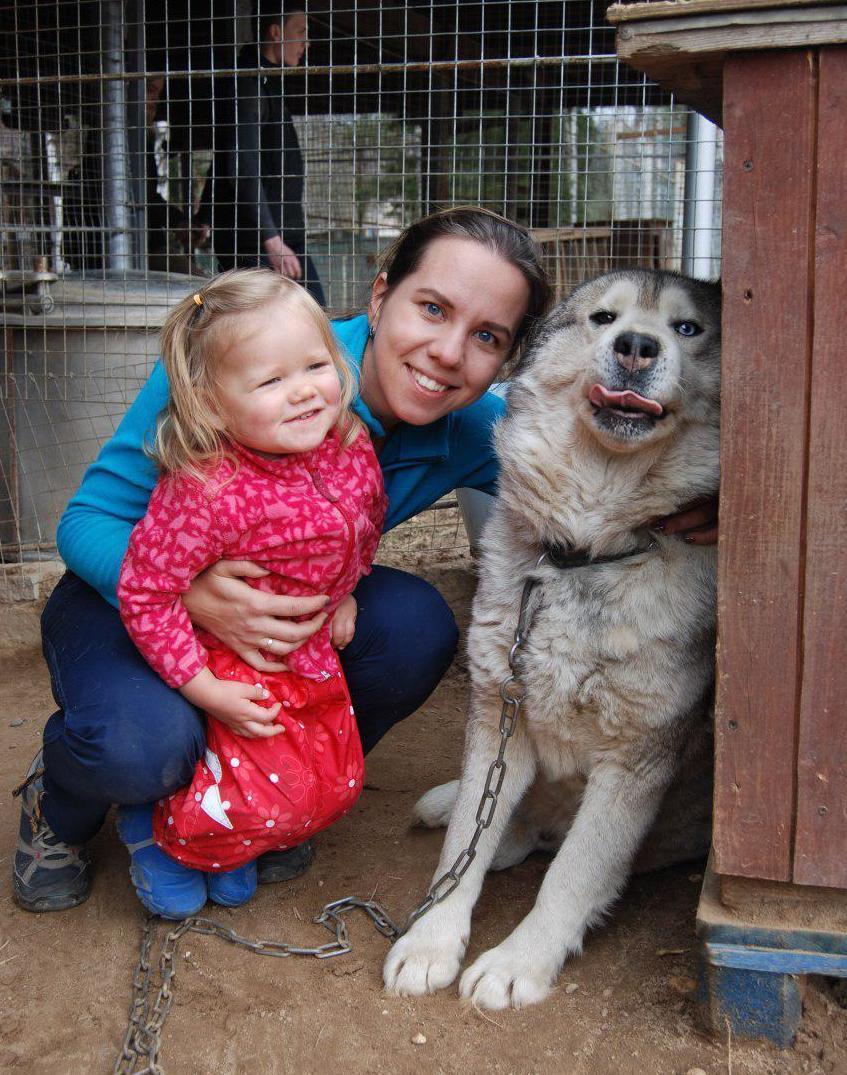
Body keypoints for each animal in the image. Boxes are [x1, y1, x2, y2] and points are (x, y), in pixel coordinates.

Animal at [384, 266, 722, 1006]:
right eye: (603, 318)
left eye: (687, 328)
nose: (636, 347)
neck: (585, 550)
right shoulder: (497, 711)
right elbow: (466, 839)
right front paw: (429, 940)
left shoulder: (633, 763)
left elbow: (571, 874)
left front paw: (519, 961)